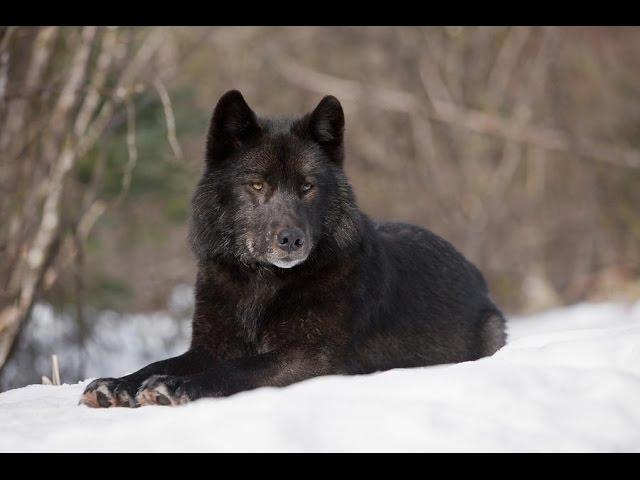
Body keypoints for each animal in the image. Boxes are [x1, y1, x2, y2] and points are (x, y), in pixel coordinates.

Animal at [80, 91, 504, 408]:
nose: (291, 240)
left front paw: (174, 386)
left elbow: (240, 369)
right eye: (257, 185)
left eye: (306, 187)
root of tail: (474, 271)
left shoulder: (312, 359)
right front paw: (117, 384)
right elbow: (160, 362)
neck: (260, 284)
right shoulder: (209, 347)